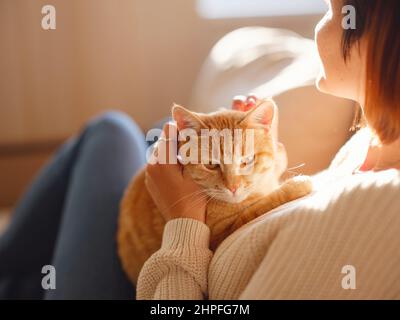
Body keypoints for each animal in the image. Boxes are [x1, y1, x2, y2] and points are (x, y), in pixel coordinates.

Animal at [118, 100, 312, 284]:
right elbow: (258, 207)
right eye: (211, 164)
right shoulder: (220, 238)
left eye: (248, 160)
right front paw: (296, 186)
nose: (233, 187)